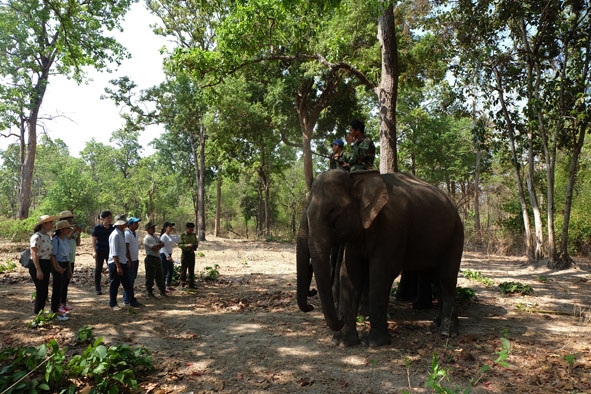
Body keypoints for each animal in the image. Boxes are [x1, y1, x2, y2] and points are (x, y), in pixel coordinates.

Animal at [294, 168, 462, 346]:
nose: (311, 305)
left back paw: (447, 332)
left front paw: (374, 343)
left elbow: (382, 273)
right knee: (436, 278)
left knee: (446, 279)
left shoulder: (393, 225)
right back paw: (439, 323)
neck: (358, 176)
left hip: (456, 234)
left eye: (334, 211)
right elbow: (350, 272)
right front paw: (343, 342)